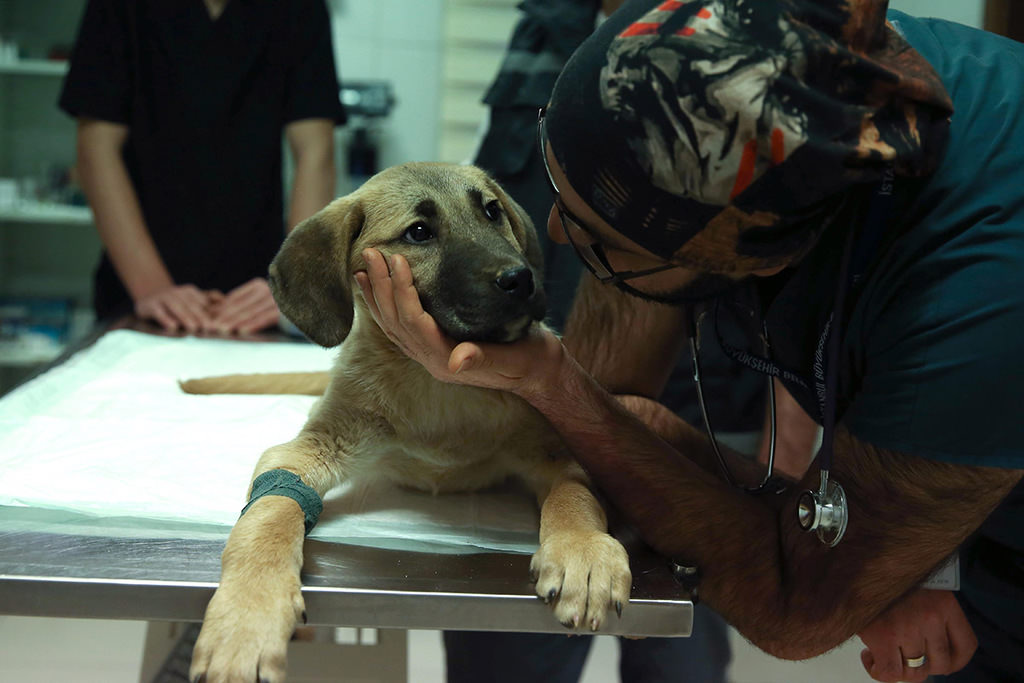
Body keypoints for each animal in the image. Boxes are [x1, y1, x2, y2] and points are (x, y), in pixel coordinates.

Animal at [186, 162, 630, 679]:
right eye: (419, 233)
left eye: (492, 211)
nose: (520, 279)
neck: (441, 389)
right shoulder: (305, 450)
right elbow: (269, 516)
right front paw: (247, 614)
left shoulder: (553, 450)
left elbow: (574, 497)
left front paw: (584, 551)